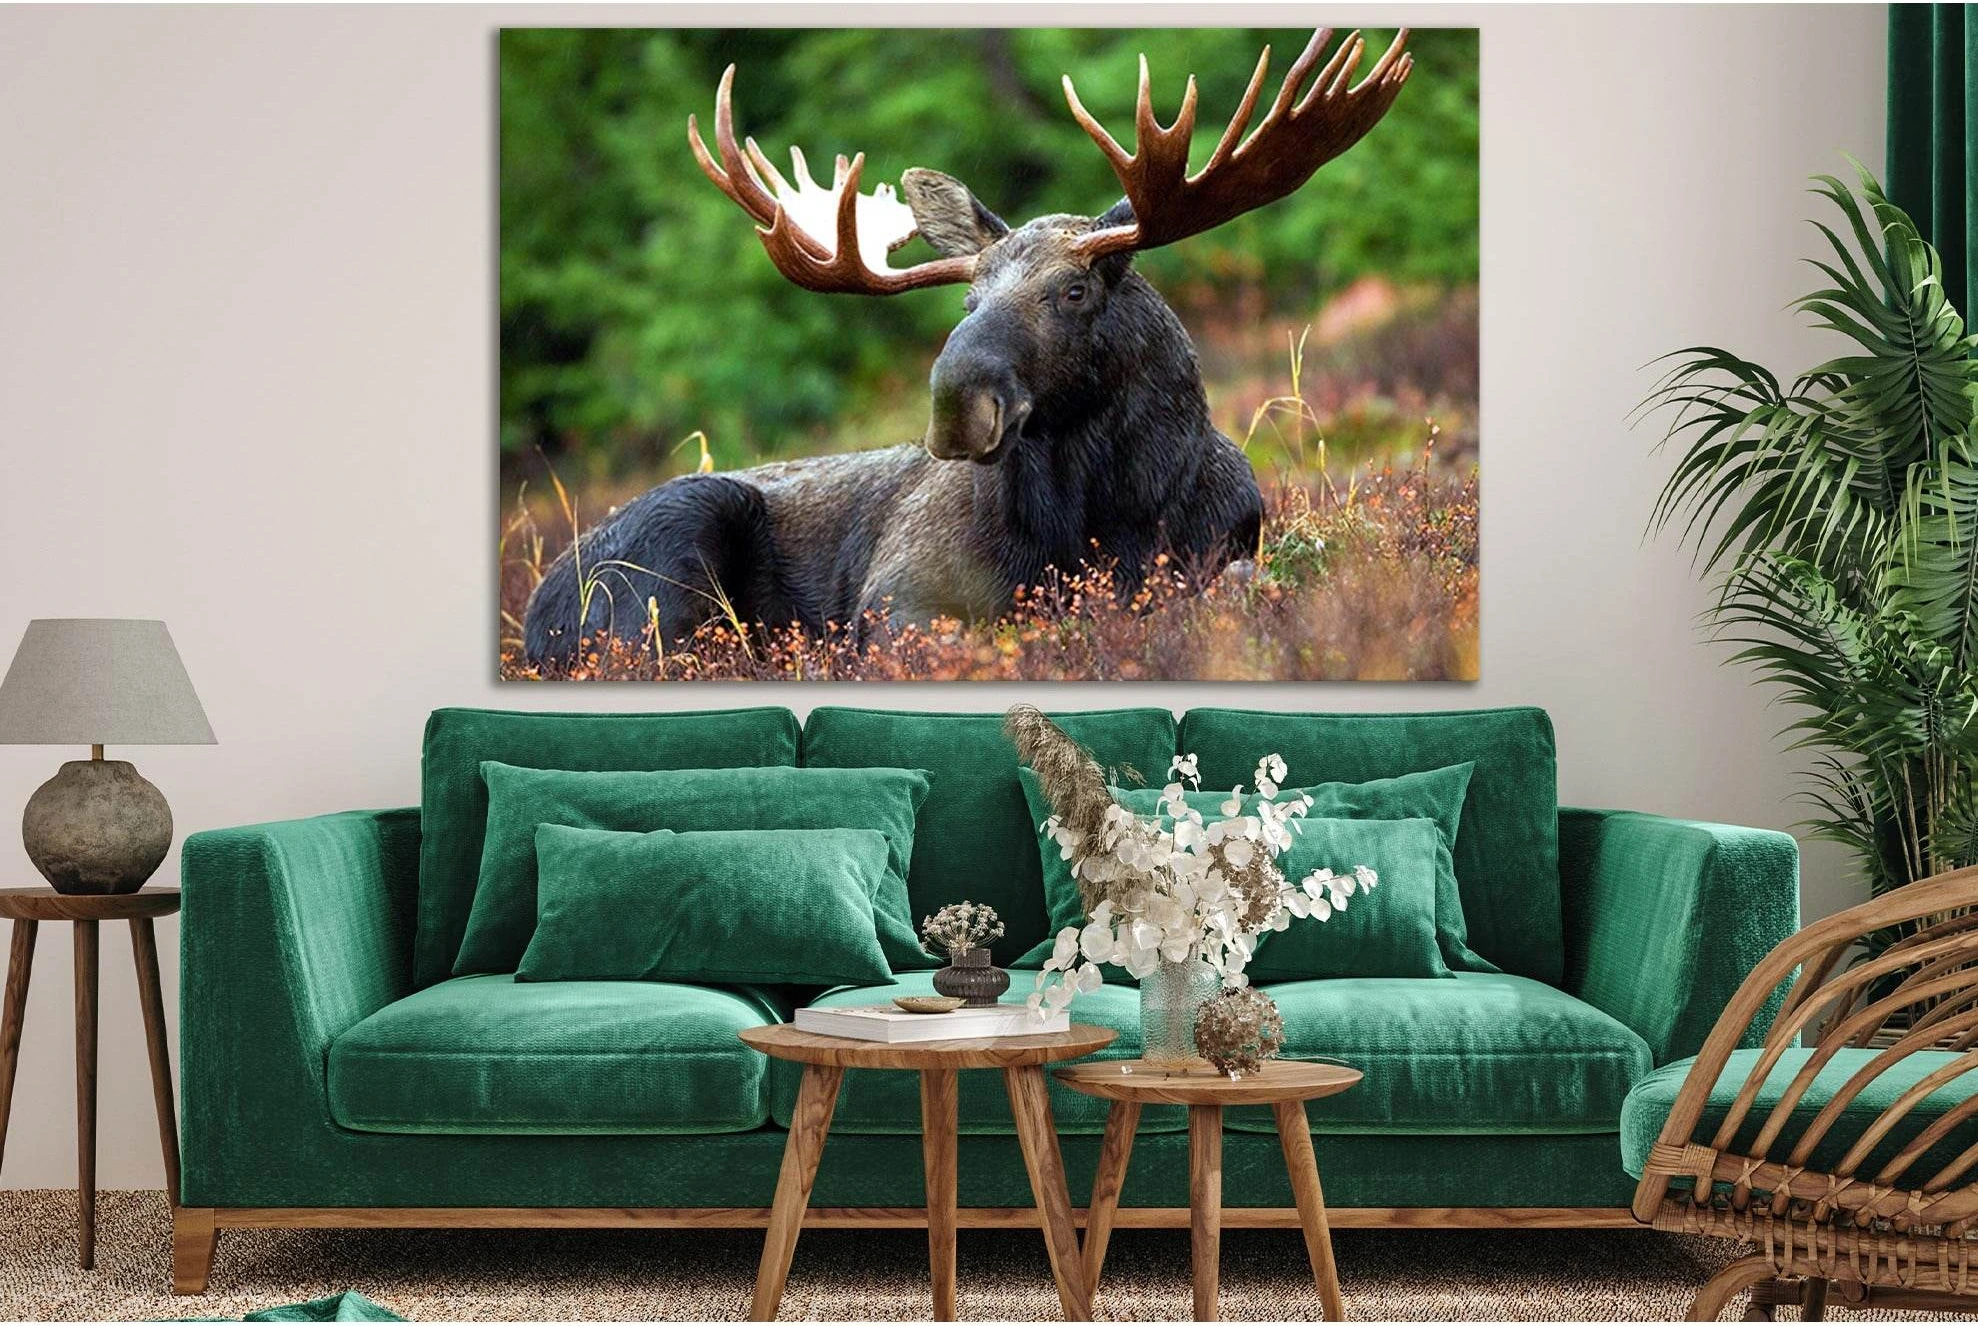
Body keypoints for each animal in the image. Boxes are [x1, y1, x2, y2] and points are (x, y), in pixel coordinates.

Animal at [522, 28, 1413, 668]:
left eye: (1074, 290)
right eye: (967, 299)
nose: (956, 405)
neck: (1108, 518)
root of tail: (533, 615)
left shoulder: (1225, 547)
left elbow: (1237, 582)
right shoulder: (899, 597)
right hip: (665, 558)